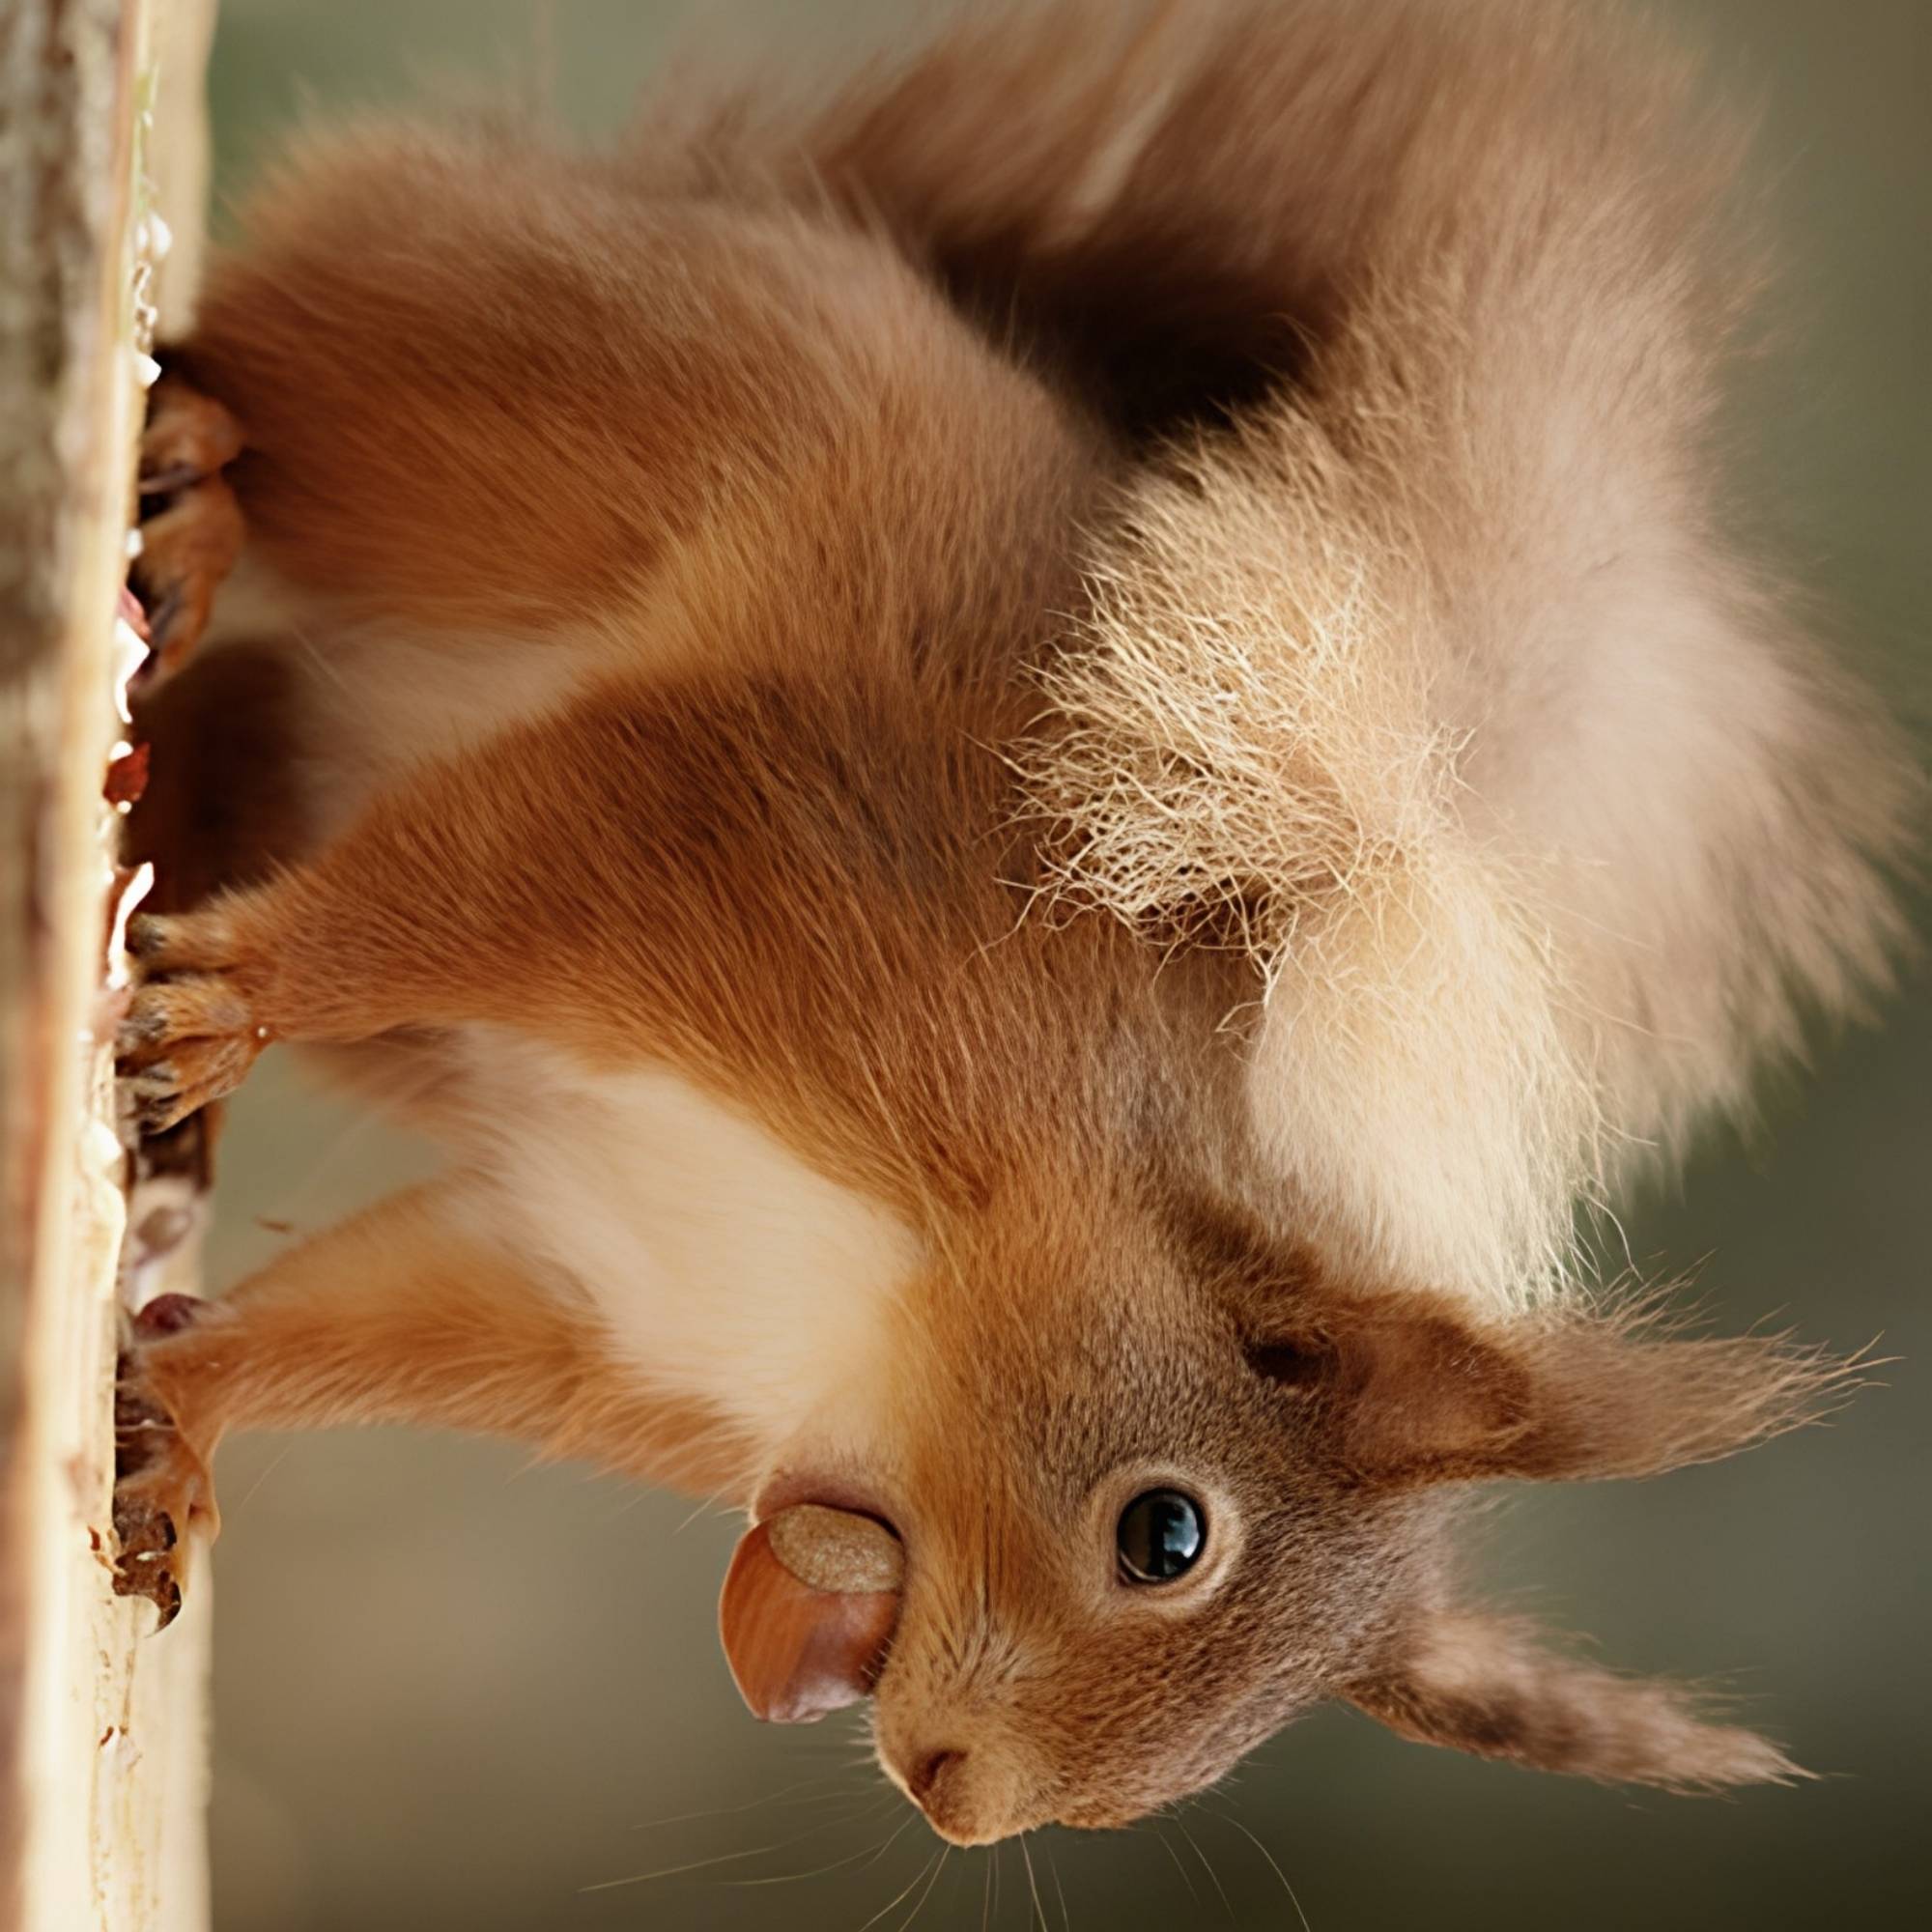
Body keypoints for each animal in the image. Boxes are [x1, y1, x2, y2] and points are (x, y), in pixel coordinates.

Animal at [114, 0, 1913, 1848]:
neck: (911, 1298)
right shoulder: (715, 855)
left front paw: (175, 1424)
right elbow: (439, 899)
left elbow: (359, 1324)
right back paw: (193, 481)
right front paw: (226, 1010)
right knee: (282, 364)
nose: (959, 1801)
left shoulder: (589, 1292)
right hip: (503, 409)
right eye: (1166, 1534)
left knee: (237, 720)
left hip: (319, 717)